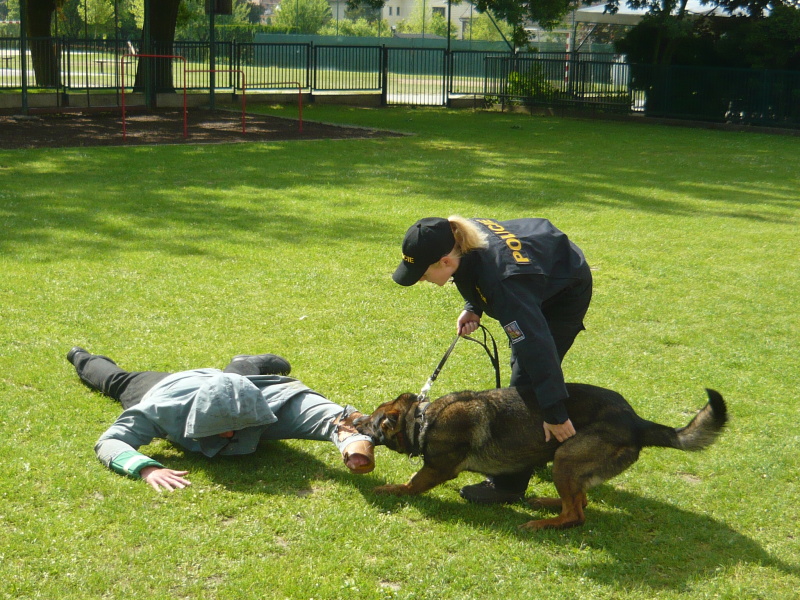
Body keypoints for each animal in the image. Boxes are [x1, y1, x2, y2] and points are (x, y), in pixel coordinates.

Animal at [346, 384, 727, 530]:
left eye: (371, 421)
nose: (351, 418)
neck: (424, 418)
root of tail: (635, 421)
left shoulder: (437, 467)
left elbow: (411, 484)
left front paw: (391, 489)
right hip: (568, 464)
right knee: (581, 499)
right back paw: (547, 503)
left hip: (566, 457)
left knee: (576, 514)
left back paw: (543, 523)